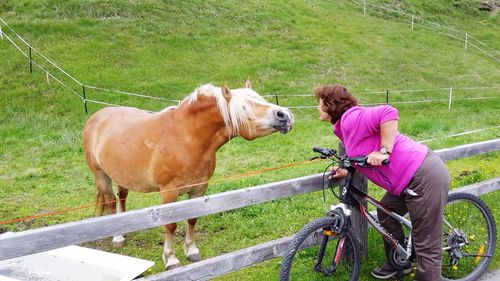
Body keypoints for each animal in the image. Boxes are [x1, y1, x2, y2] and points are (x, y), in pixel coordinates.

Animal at [82, 81, 292, 270]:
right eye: (244, 106)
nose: (285, 115)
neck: (185, 137)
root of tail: (96, 117)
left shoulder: (199, 189)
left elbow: (192, 219)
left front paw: (192, 251)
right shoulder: (169, 192)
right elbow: (170, 225)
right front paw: (171, 259)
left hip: (122, 175)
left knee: (122, 197)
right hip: (102, 175)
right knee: (110, 200)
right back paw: (117, 237)